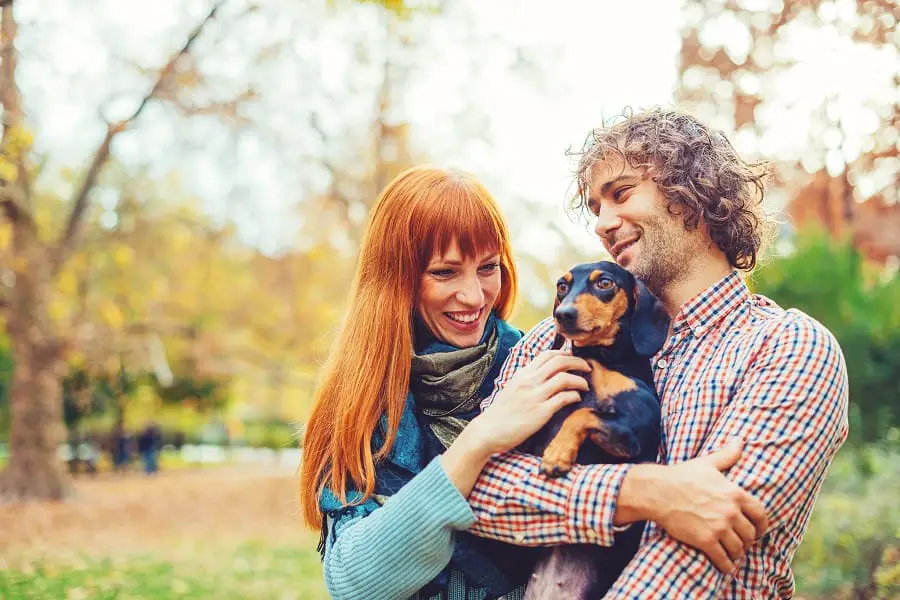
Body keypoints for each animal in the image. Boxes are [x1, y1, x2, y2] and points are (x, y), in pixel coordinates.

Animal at [520, 262, 668, 600]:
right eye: (562, 286)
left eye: (604, 283)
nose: (564, 314)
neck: (596, 359)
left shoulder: (634, 431)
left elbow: (583, 413)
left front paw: (557, 455)